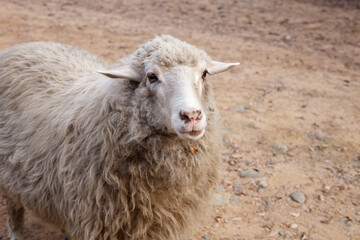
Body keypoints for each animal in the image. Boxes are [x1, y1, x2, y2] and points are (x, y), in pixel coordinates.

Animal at [0, 34, 239, 240]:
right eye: (152, 77)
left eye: (204, 74)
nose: (192, 116)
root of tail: (27, 45)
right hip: (10, 174)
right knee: (14, 210)